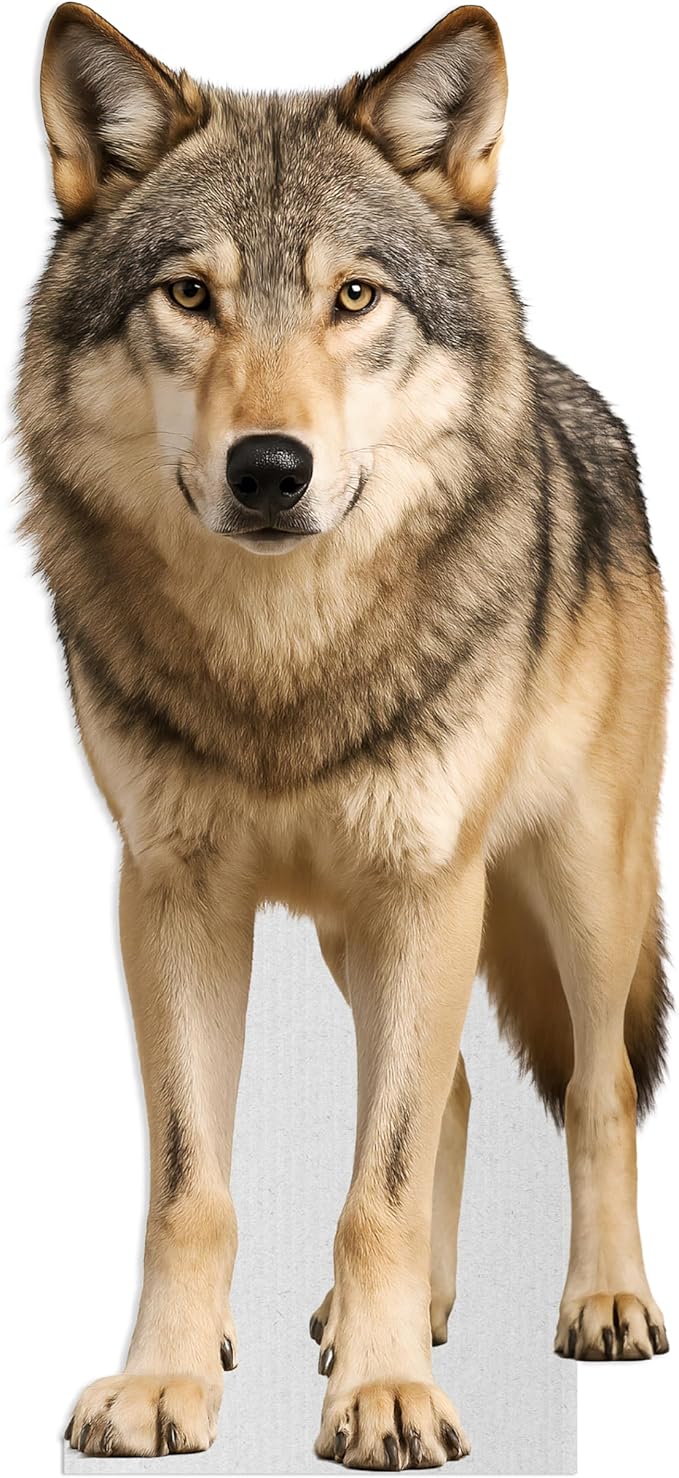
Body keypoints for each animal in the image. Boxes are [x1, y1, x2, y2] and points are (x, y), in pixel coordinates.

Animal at [17, 1, 670, 1466]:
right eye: (188, 295)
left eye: (353, 297)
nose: (269, 469)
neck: (282, 668)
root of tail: (575, 398)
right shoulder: (172, 898)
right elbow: (194, 1184)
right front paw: (167, 1377)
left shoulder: (427, 884)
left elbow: (379, 1177)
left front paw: (383, 1398)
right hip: (348, 927)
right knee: (461, 1092)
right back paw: (404, 1311)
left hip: (571, 884)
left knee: (594, 1088)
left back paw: (600, 1300)